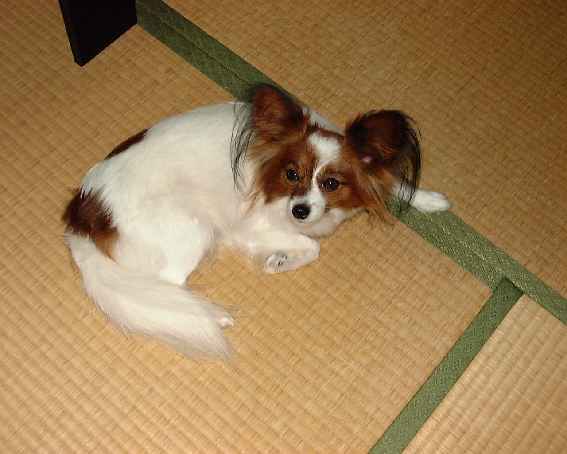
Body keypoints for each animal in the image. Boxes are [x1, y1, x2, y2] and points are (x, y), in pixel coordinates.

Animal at [63, 84, 450, 358]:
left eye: (331, 183)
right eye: (292, 174)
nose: (300, 211)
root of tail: (82, 215)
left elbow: (394, 183)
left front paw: (430, 199)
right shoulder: (252, 226)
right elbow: (312, 246)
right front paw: (281, 260)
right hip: (193, 229)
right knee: (166, 286)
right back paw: (207, 315)